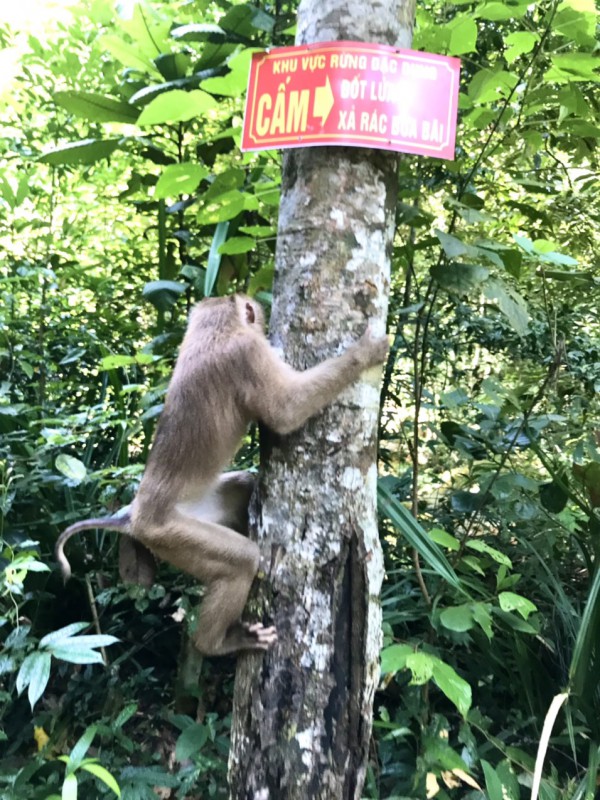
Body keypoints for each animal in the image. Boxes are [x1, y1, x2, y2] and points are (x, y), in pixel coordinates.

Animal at [56, 294, 390, 656]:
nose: (259, 311)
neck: (213, 330)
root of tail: (132, 515)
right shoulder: (248, 352)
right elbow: (285, 411)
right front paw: (365, 352)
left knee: (241, 489)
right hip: (168, 532)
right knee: (241, 561)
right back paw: (216, 643)